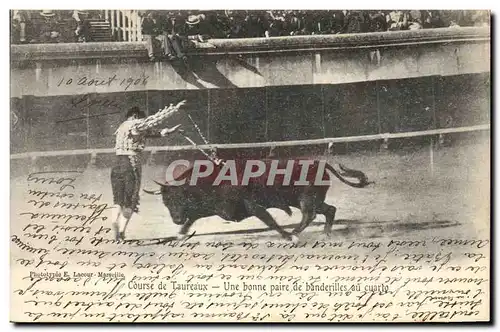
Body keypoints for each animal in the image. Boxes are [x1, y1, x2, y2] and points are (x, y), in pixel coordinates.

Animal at [145, 158, 372, 241]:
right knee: (329, 210)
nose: (176, 219)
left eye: (180, 198)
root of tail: (320, 163)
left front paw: (287, 237)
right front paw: (181, 234)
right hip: (310, 199)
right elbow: (193, 217)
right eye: (166, 202)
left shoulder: (251, 206)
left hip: (305, 199)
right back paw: (325, 233)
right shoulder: (219, 209)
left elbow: (269, 220)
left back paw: (295, 233)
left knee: (310, 215)